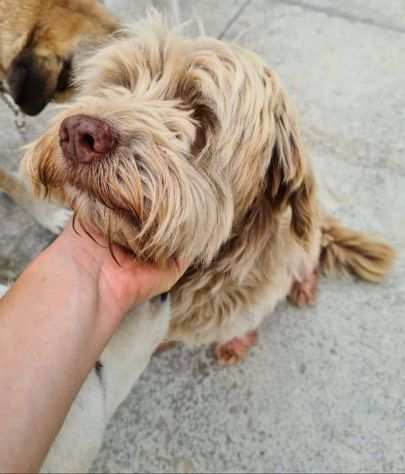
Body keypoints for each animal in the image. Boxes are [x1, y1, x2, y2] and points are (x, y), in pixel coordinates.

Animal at [22, 14, 394, 362]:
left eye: (200, 112)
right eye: (120, 83)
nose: (78, 133)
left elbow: (241, 327)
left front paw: (235, 344)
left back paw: (304, 286)